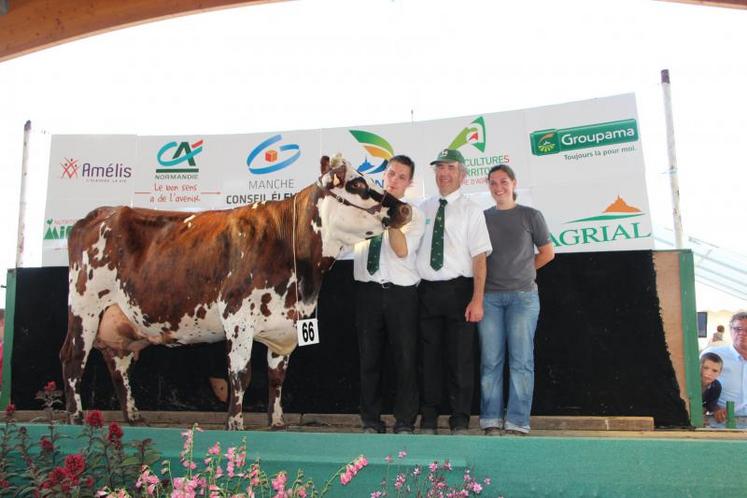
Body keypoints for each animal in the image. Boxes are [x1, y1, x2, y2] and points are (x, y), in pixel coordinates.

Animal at [59, 155, 412, 428]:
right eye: (358, 185)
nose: (405, 209)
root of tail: (97, 214)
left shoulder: (286, 325)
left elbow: (277, 377)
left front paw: (278, 422)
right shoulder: (238, 316)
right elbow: (241, 374)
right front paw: (235, 423)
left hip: (117, 319)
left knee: (117, 364)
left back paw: (132, 415)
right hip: (85, 308)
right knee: (73, 358)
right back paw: (75, 417)